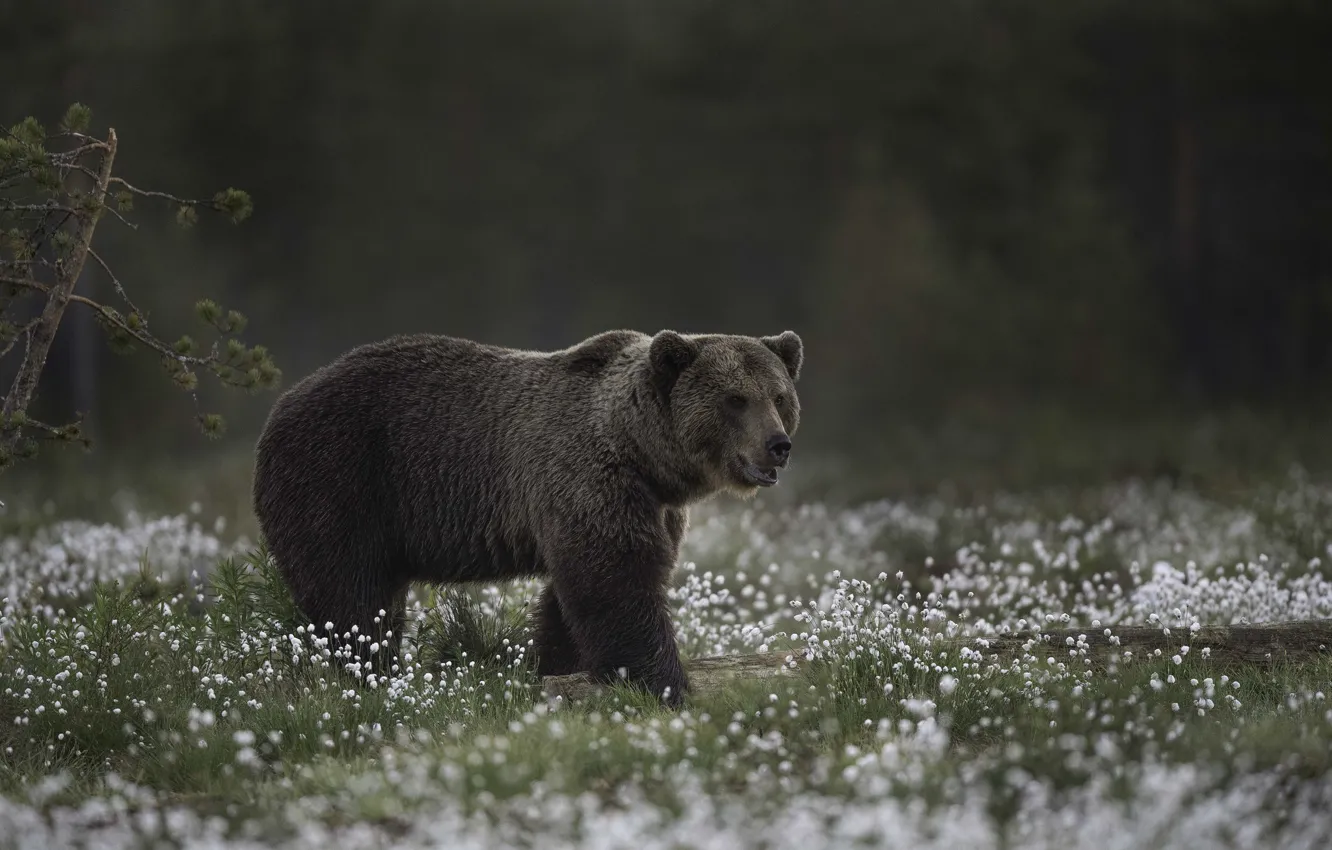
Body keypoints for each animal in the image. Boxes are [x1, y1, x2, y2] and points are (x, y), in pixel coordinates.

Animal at [254, 330, 804, 708]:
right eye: (735, 399)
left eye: (779, 396)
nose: (778, 444)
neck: (643, 455)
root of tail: (282, 404)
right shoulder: (588, 477)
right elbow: (616, 583)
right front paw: (664, 684)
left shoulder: (652, 507)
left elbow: (578, 596)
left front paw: (557, 667)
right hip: (342, 479)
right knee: (350, 595)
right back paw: (368, 669)